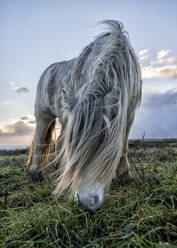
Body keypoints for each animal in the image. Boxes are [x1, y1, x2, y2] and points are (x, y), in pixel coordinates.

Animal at [26, 20, 142, 211]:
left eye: (103, 147)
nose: (86, 202)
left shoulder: (129, 113)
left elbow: (123, 147)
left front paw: (125, 177)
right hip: (43, 115)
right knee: (39, 142)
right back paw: (36, 174)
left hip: (66, 118)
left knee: (59, 141)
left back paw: (57, 167)